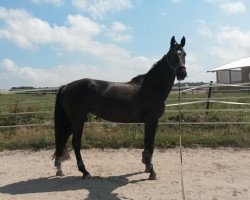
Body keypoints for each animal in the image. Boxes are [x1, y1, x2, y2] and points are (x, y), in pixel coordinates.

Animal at [54, 36, 188, 180]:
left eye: (184, 54)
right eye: (172, 54)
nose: (182, 72)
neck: (152, 87)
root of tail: (66, 86)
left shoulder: (148, 121)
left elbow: (147, 143)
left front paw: (147, 166)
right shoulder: (152, 120)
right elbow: (150, 144)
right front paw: (152, 171)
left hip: (72, 121)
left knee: (62, 139)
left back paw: (59, 168)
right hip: (78, 120)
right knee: (75, 143)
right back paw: (84, 171)